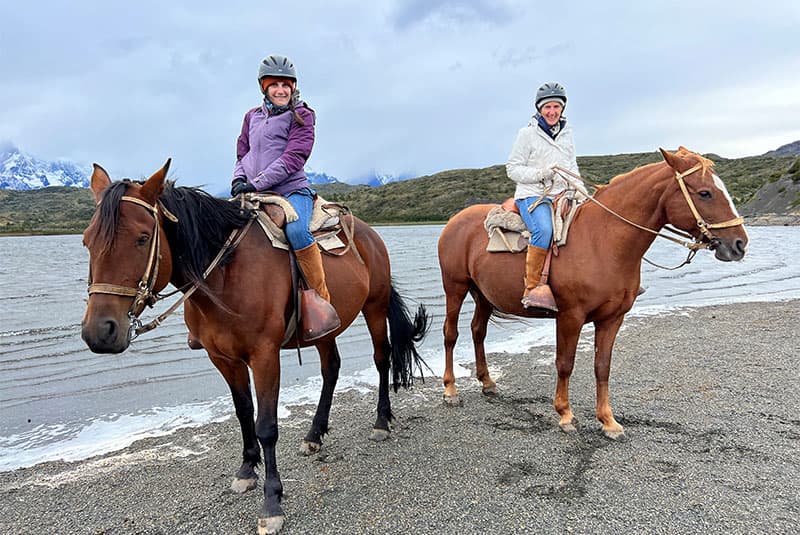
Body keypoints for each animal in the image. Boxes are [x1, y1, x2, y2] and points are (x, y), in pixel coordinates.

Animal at [80, 160, 429, 534]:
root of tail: (369, 234)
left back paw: (381, 421)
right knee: (331, 369)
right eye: (87, 242)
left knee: (381, 358)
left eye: (142, 238)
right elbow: (243, 412)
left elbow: (266, 426)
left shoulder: (264, 356)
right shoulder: (223, 358)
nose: (100, 331)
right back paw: (314, 433)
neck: (225, 275)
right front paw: (247, 471)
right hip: (324, 330)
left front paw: (272, 502)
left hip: (375, 308)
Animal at [437, 147, 748, 439]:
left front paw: (608, 421)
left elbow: (602, 366)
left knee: (478, 331)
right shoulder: (570, 317)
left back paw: (487, 382)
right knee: (451, 334)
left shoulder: (612, 319)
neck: (603, 240)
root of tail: (454, 221)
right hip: (455, 287)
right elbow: (565, 363)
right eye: (705, 193)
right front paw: (564, 414)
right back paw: (451, 390)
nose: (739, 244)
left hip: (483, 295)